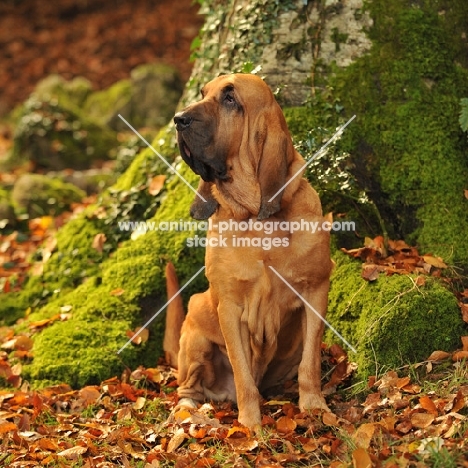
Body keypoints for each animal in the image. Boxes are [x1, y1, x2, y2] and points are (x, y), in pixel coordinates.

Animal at [166, 74, 330, 432]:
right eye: (202, 93)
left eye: (230, 99)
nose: (178, 119)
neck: (256, 220)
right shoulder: (229, 307)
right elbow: (243, 375)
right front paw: (252, 424)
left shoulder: (316, 291)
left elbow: (310, 363)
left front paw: (315, 407)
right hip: (197, 326)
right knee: (187, 387)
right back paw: (187, 411)